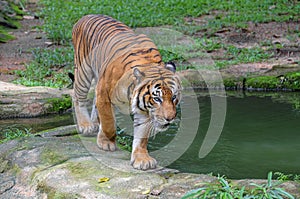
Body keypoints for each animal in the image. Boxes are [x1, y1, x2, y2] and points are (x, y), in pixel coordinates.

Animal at [71, 14, 182, 170]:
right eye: (157, 99)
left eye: (174, 97)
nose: (170, 118)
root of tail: (86, 16)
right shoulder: (104, 94)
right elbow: (109, 122)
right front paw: (106, 142)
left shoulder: (144, 110)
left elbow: (141, 136)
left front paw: (142, 159)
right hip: (83, 71)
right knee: (77, 96)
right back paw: (86, 125)